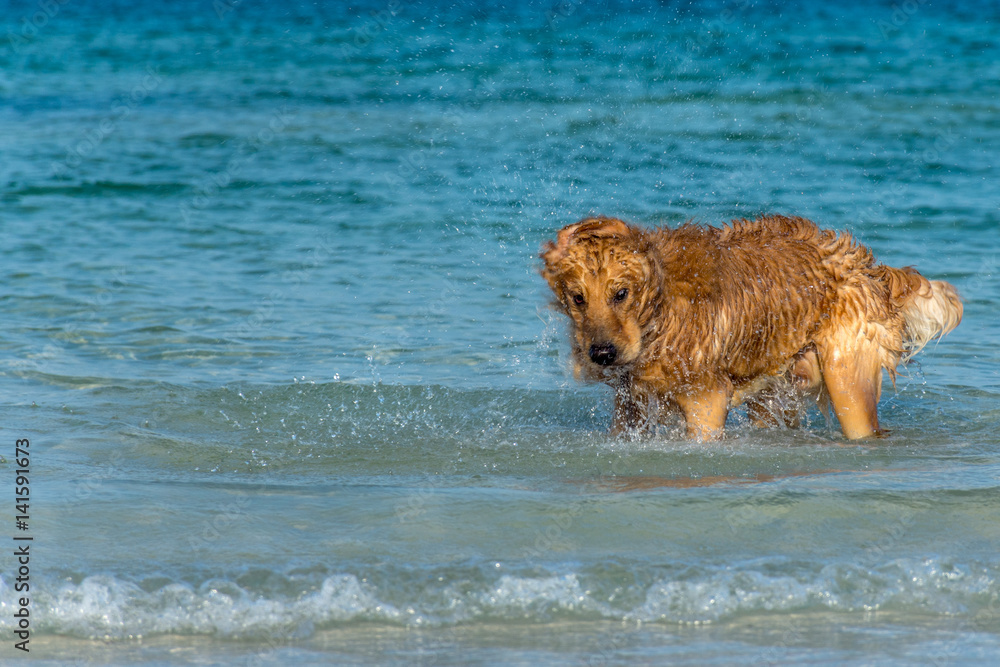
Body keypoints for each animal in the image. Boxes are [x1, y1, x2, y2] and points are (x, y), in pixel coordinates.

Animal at [544, 217, 964, 440]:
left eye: (621, 293)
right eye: (577, 298)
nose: (601, 354)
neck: (660, 316)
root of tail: (863, 263)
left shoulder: (706, 402)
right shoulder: (630, 403)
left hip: (847, 382)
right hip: (776, 384)